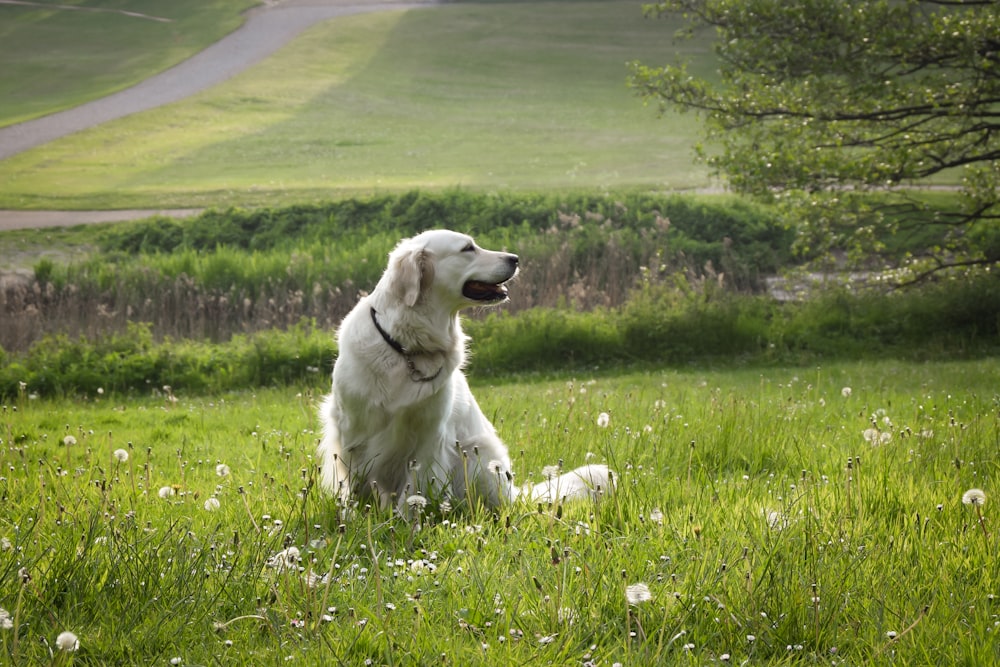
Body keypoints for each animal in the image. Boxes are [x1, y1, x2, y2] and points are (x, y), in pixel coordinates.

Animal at [316, 232, 612, 516]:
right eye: (468, 248)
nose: (515, 258)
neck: (409, 349)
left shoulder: (430, 436)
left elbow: (412, 491)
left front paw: (405, 524)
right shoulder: (353, 431)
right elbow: (357, 487)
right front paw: (359, 519)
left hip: (475, 453)